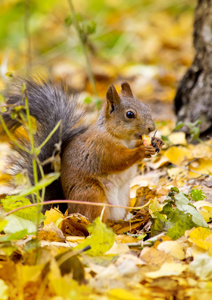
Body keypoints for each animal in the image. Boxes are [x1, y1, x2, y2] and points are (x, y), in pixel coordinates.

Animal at [0, 78, 164, 221]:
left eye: (146, 107)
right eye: (130, 114)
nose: (152, 128)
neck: (122, 137)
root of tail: (65, 211)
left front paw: (156, 142)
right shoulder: (101, 147)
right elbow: (118, 160)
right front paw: (141, 151)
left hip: (123, 199)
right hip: (91, 194)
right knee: (93, 222)